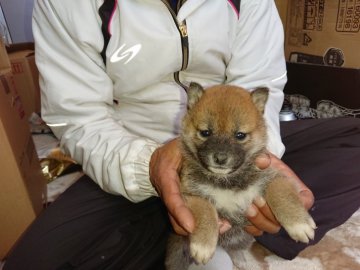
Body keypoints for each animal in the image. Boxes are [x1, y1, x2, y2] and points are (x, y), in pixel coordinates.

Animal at [165, 83, 316, 270]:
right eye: (205, 132)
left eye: (240, 135)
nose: (220, 158)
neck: (226, 181)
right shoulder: (192, 194)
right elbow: (205, 212)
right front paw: (203, 245)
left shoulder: (271, 178)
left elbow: (283, 195)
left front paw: (299, 224)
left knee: (234, 248)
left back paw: (240, 261)